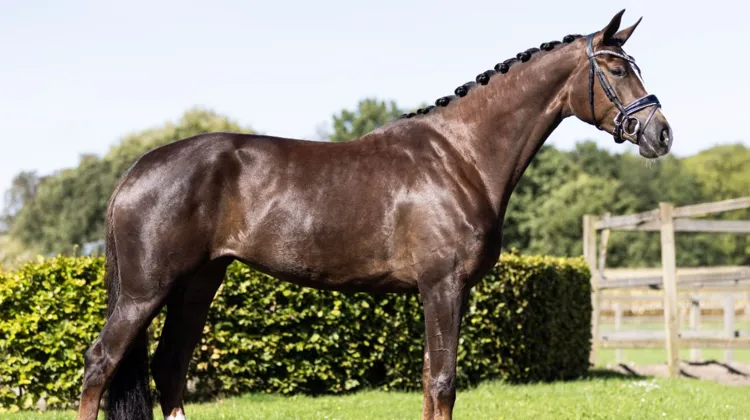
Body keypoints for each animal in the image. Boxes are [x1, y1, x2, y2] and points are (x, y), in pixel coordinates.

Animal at [77, 9, 671, 420]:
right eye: (614, 68)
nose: (661, 133)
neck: (461, 155)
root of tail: (136, 170)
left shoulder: (441, 292)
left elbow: (430, 382)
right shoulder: (443, 286)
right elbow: (443, 383)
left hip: (198, 282)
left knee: (168, 367)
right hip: (145, 290)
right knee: (100, 364)